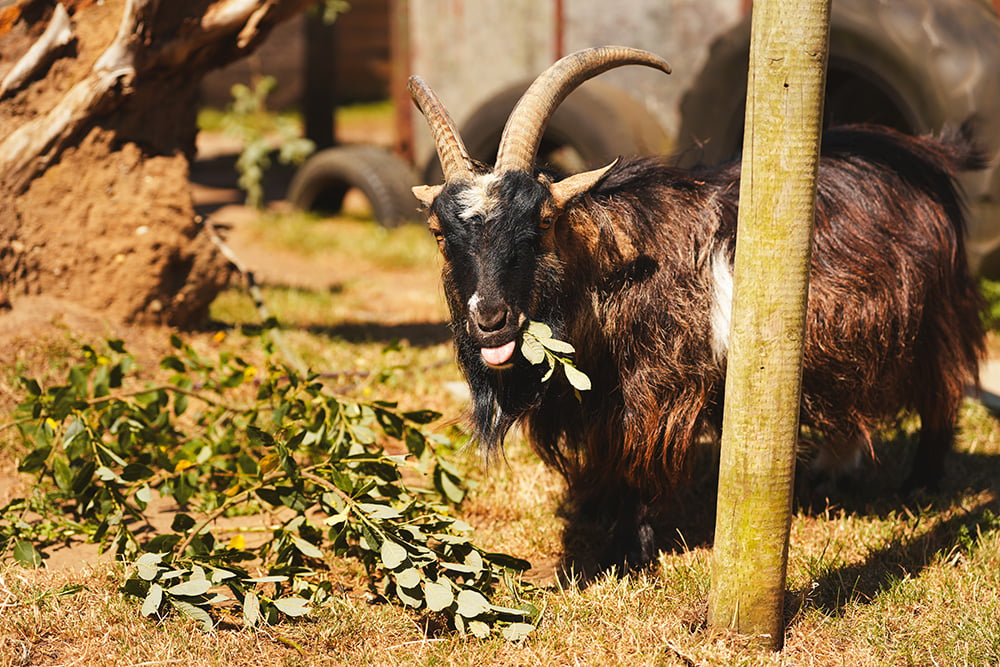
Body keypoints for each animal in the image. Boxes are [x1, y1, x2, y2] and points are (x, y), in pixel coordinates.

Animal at [408, 46, 986, 576]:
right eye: (438, 233)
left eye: (545, 220)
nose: (490, 319)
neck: (613, 270)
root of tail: (926, 149)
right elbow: (606, 463)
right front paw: (597, 515)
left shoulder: (657, 392)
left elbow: (637, 463)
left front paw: (626, 555)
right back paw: (829, 473)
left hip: (933, 315)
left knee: (944, 388)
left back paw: (920, 484)